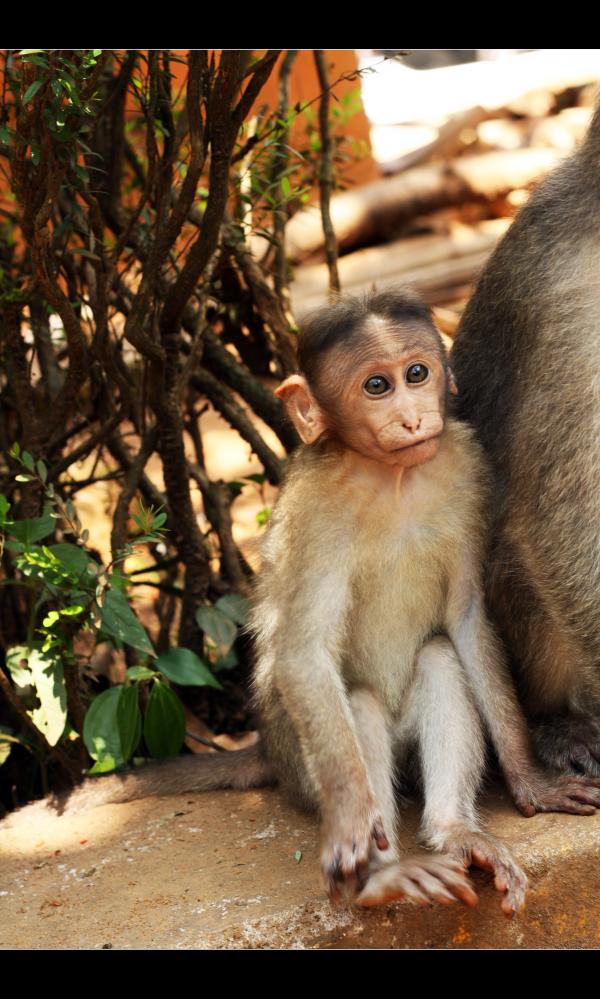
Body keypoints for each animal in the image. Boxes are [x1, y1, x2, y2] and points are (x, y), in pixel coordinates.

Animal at [8, 289, 600, 915]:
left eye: (417, 373)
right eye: (376, 386)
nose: (413, 418)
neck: (391, 478)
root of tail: (266, 746)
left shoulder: (465, 468)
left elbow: (465, 618)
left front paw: (530, 779)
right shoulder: (320, 511)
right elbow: (303, 652)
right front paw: (353, 833)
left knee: (438, 655)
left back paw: (454, 832)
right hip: (298, 757)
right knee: (355, 702)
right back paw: (384, 874)